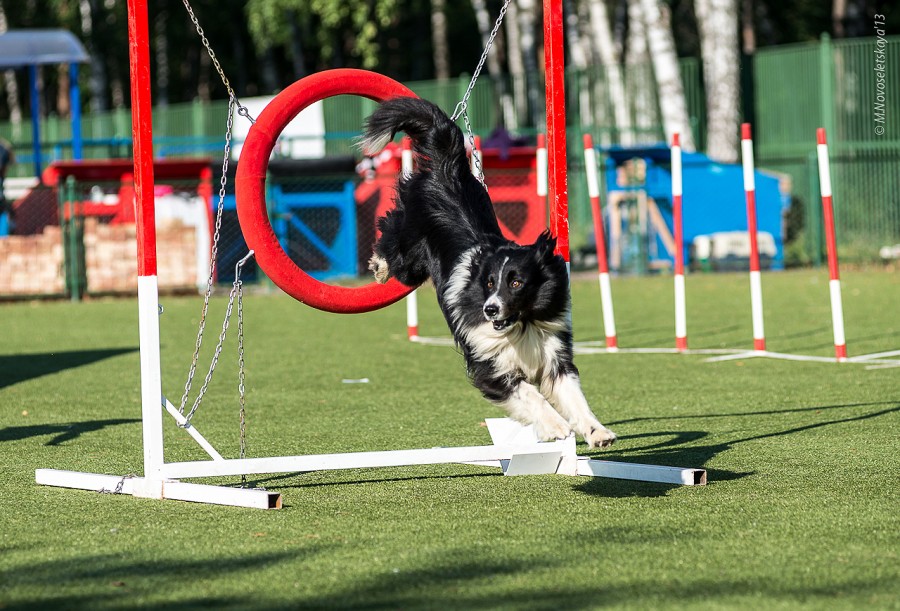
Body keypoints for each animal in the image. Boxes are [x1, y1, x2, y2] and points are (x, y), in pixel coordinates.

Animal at [362, 97, 616, 450]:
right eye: (490, 282)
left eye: (517, 282)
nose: (490, 309)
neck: (521, 324)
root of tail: (446, 168)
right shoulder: (490, 366)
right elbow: (531, 395)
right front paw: (554, 426)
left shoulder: (554, 355)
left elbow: (574, 397)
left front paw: (597, 433)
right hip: (408, 254)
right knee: (389, 233)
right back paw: (379, 266)